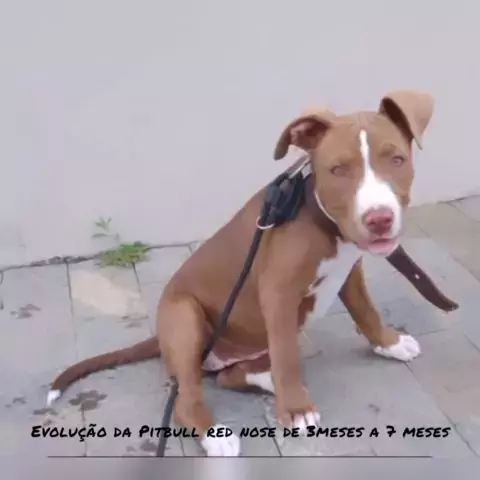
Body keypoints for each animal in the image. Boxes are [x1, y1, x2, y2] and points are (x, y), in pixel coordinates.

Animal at [48, 90, 435, 456]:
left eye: (397, 159)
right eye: (338, 169)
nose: (379, 219)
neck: (321, 219)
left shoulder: (349, 272)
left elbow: (365, 310)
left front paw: (389, 343)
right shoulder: (278, 293)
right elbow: (286, 356)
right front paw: (296, 411)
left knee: (231, 375)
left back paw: (267, 381)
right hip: (185, 319)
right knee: (189, 397)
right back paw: (216, 433)